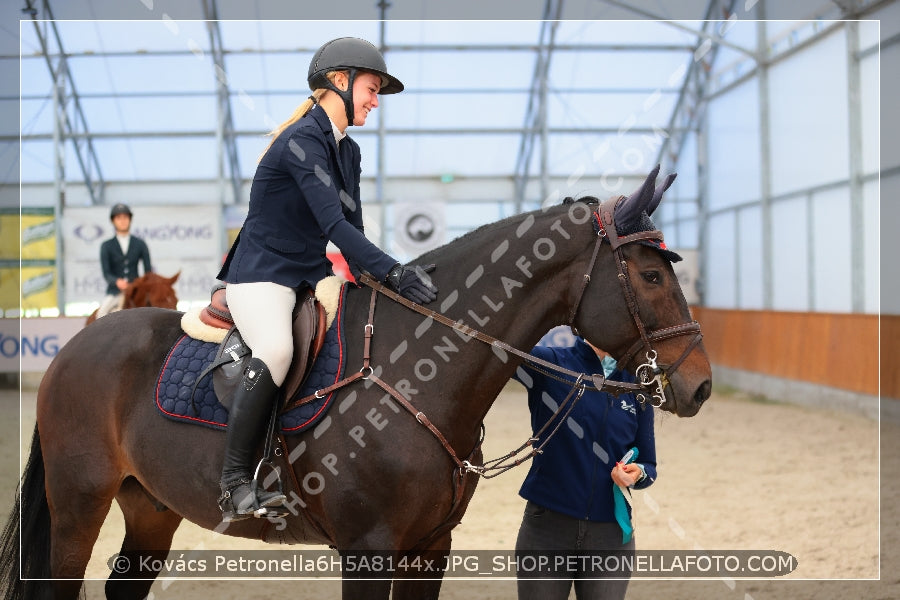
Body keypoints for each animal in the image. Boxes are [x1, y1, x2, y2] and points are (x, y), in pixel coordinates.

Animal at [3, 169, 712, 600]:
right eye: (651, 276)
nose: (701, 386)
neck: (416, 370)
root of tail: (76, 347)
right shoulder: (367, 550)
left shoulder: (429, 548)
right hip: (79, 503)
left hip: (151, 508)